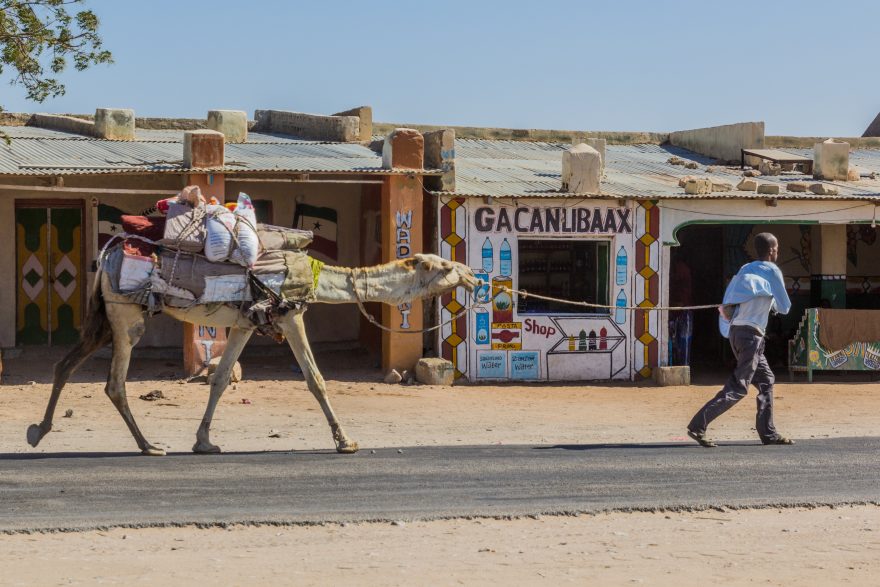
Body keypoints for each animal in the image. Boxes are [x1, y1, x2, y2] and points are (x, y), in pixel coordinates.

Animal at [27, 250, 478, 458]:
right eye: (442, 267)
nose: (473, 274)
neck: (315, 278)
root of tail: (105, 258)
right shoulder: (290, 315)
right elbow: (315, 380)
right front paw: (345, 441)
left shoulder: (245, 322)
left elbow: (220, 378)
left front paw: (204, 442)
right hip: (126, 316)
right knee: (115, 383)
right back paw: (149, 446)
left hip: (104, 318)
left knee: (65, 364)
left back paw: (39, 430)